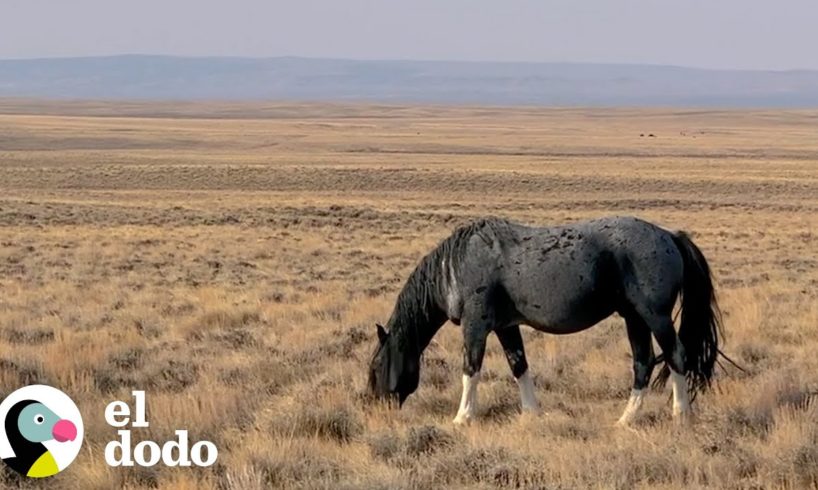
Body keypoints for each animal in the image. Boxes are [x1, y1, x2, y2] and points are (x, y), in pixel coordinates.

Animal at [364, 214, 720, 424]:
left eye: (377, 366)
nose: (376, 406)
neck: (456, 265)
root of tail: (670, 236)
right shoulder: (506, 328)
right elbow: (519, 366)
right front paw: (531, 412)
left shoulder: (475, 325)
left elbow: (470, 370)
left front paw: (462, 418)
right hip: (634, 318)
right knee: (643, 363)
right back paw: (625, 420)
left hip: (654, 316)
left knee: (675, 356)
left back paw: (681, 415)